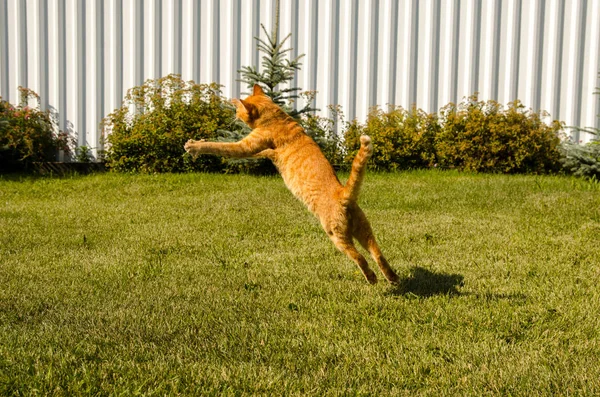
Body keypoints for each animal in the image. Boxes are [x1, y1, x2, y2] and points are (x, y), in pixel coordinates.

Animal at [183, 83, 398, 284]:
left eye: (238, 111)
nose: (233, 115)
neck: (278, 118)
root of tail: (343, 193)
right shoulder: (263, 150)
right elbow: (262, 153)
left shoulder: (246, 146)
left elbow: (219, 146)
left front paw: (194, 146)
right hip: (364, 230)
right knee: (377, 254)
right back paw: (392, 277)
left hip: (337, 235)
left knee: (359, 257)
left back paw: (372, 278)